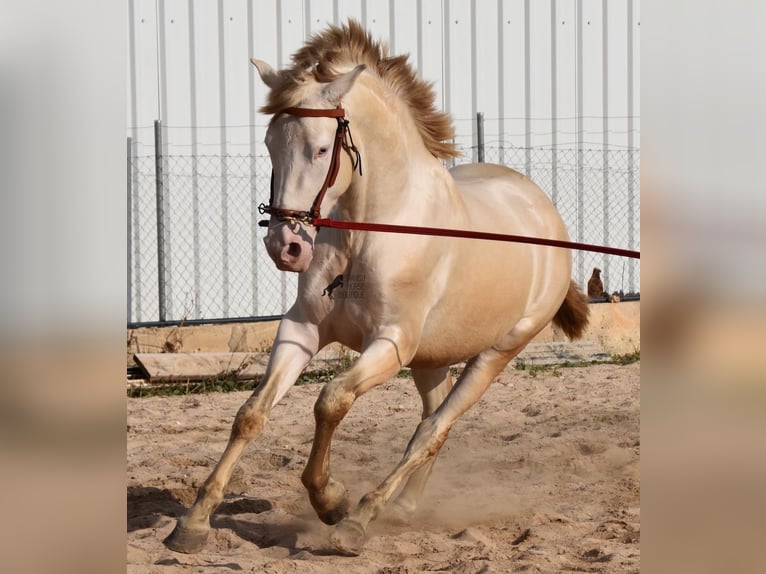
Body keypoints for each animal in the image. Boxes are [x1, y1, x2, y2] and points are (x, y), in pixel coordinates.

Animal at [165, 21, 592, 560]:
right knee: (430, 419)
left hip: (496, 353)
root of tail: (544, 211)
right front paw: (193, 524)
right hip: (431, 358)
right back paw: (404, 507)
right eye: (269, 144)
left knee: (432, 431)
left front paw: (332, 501)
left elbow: (330, 400)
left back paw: (360, 521)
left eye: (321, 149)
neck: (370, 229)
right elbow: (251, 414)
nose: (285, 247)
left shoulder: (389, 344)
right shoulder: (302, 329)